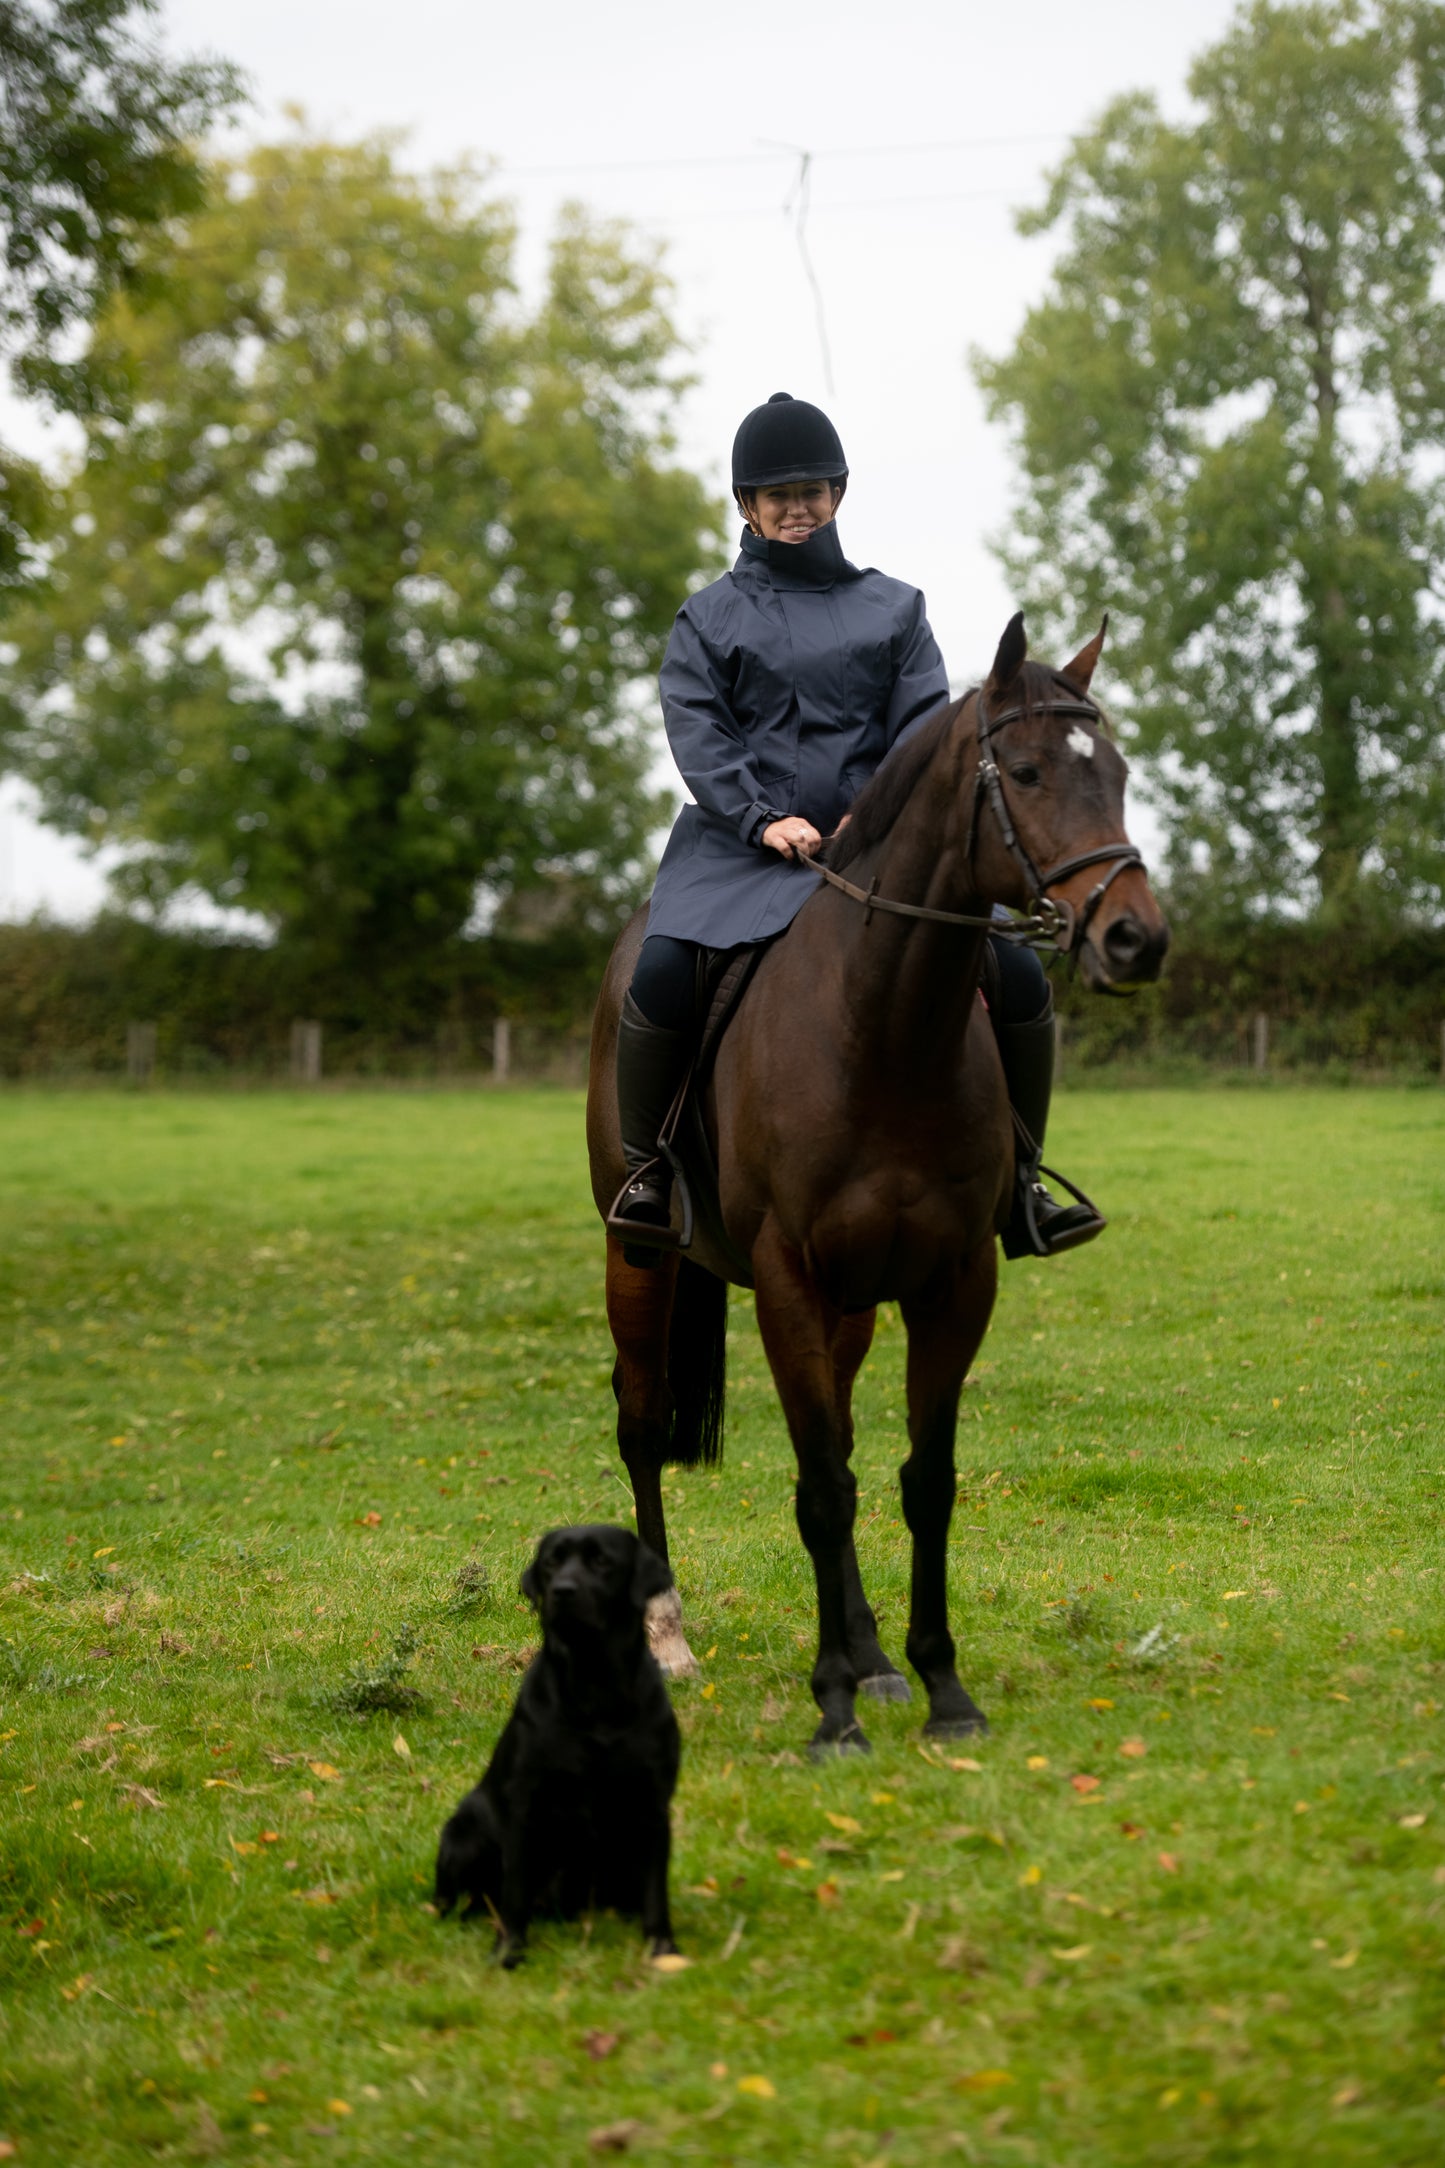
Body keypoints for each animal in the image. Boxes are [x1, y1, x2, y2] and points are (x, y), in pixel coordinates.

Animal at [433, 1526, 680, 1968]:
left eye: (602, 1561)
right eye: (551, 1562)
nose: (561, 1591)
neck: (594, 1688)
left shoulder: (653, 1806)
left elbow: (656, 1891)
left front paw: (663, 1950)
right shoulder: (525, 1807)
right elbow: (515, 1891)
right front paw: (508, 1950)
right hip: (462, 1833)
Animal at [580, 607, 1169, 1743]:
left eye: (1116, 769)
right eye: (1024, 771)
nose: (1134, 937)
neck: (882, 1027)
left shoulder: (954, 1280)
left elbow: (915, 1479)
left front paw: (938, 1687)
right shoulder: (787, 1280)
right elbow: (818, 1488)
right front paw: (832, 1713)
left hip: (851, 1303)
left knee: (842, 1442)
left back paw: (869, 1655)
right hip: (640, 1256)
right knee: (640, 1421)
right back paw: (666, 1634)